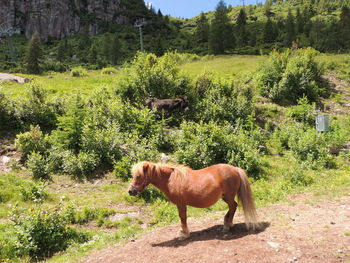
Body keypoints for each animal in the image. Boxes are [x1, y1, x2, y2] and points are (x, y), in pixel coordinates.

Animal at [129, 162, 260, 240]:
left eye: (138, 176)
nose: (130, 191)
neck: (170, 180)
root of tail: (235, 169)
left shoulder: (181, 204)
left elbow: (182, 218)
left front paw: (184, 234)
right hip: (226, 197)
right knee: (233, 207)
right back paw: (228, 223)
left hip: (228, 197)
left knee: (233, 206)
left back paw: (227, 226)